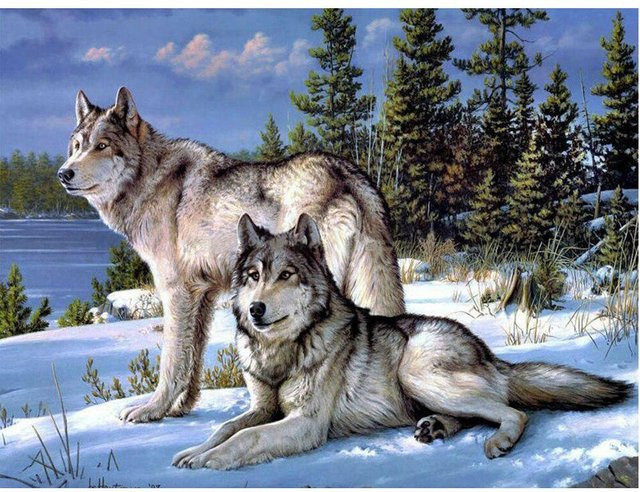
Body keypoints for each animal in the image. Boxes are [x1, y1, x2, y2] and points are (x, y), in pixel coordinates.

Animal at [57, 87, 405, 423]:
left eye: (102, 146)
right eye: (76, 146)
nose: (64, 173)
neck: (149, 179)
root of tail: (349, 174)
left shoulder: (176, 292)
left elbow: (171, 362)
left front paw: (152, 410)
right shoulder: (202, 295)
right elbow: (192, 360)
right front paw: (181, 407)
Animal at [172, 213, 632, 470]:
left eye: (286, 275)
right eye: (254, 276)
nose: (256, 310)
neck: (283, 351)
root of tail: (488, 352)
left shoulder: (306, 423)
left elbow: (244, 438)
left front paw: (208, 461)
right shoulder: (262, 408)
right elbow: (227, 428)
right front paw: (194, 451)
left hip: (417, 373)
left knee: (514, 412)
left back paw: (496, 440)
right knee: (479, 413)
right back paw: (435, 427)